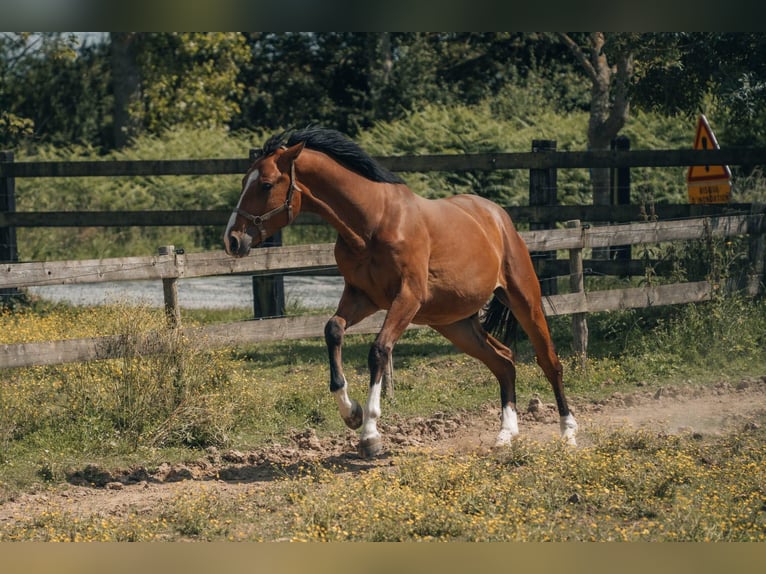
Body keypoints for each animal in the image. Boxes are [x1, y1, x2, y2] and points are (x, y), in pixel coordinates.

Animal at [225, 128, 580, 456]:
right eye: (244, 180)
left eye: (266, 184)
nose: (232, 240)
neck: (372, 223)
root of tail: (497, 216)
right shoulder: (362, 297)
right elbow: (333, 330)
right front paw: (351, 413)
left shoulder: (407, 298)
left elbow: (379, 350)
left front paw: (370, 434)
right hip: (455, 323)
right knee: (504, 361)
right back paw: (505, 435)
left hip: (524, 300)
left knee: (549, 361)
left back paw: (568, 434)